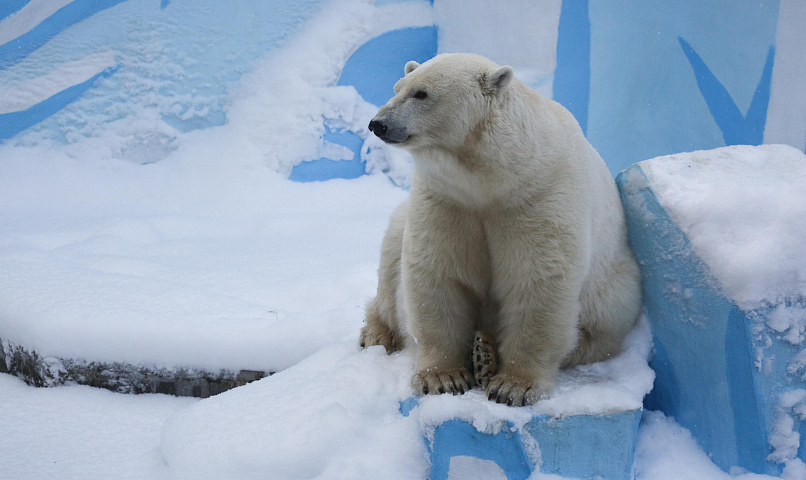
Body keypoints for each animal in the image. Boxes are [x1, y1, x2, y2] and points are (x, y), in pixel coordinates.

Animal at [360, 53, 644, 404]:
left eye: (422, 93)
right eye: (397, 88)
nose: (378, 124)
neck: (495, 176)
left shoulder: (540, 196)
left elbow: (538, 281)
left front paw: (514, 386)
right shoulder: (447, 200)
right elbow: (437, 273)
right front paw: (442, 377)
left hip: (616, 287)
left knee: (597, 332)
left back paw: (486, 352)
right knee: (390, 264)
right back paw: (378, 334)